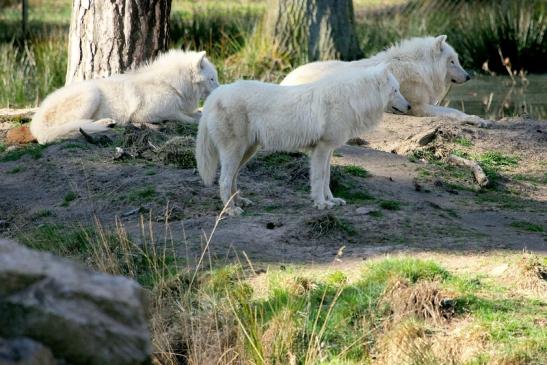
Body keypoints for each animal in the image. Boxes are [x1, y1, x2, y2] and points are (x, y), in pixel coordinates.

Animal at [30, 49, 218, 144]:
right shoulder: (147, 114)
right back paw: (104, 124)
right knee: (76, 125)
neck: (171, 84)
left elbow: (197, 113)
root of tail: (36, 123)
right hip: (92, 94)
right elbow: (189, 119)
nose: (220, 89)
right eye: (212, 79)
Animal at [197, 63, 412, 216]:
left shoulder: (329, 150)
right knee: (224, 180)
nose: (410, 106)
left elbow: (326, 178)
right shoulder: (322, 149)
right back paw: (230, 209)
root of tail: (216, 94)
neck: (352, 99)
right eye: (395, 90)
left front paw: (331, 200)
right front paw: (321, 204)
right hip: (235, 152)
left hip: (247, 151)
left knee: (232, 177)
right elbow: (318, 178)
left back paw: (239, 202)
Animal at [282, 35, 488, 126]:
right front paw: (475, 119)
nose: (469, 76)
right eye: (452, 61)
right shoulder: (419, 107)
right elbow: (454, 111)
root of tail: (284, 79)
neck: (420, 67)